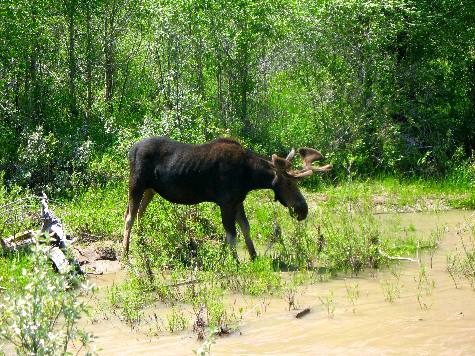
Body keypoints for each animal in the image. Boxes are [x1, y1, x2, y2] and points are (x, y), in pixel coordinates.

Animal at [122, 138, 330, 260]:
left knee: (139, 214)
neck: (250, 177)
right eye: (288, 183)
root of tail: (130, 150)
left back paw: (141, 243)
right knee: (129, 217)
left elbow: (245, 228)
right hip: (136, 183)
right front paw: (235, 262)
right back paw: (125, 252)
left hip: (150, 189)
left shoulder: (238, 200)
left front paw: (253, 256)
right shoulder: (226, 202)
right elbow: (232, 235)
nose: (303, 210)